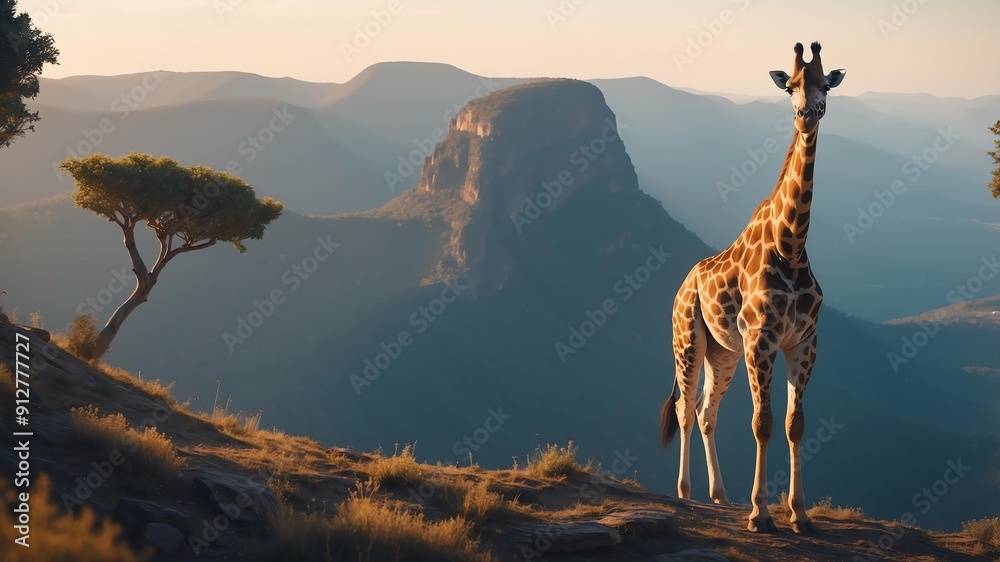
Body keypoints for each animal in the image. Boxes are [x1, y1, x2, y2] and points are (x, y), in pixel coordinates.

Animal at [659, 42, 845, 534]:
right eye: (791, 86)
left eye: (824, 86)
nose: (806, 114)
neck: (791, 245)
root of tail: (680, 287)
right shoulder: (761, 339)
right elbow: (762, 422)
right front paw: (761, 513)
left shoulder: (804, 341)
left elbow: (795, 424)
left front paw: (800, 515)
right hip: (688, 340)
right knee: (684, 409)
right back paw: (686, 493)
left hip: (722, 352)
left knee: (706, 412)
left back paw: (720, 496)